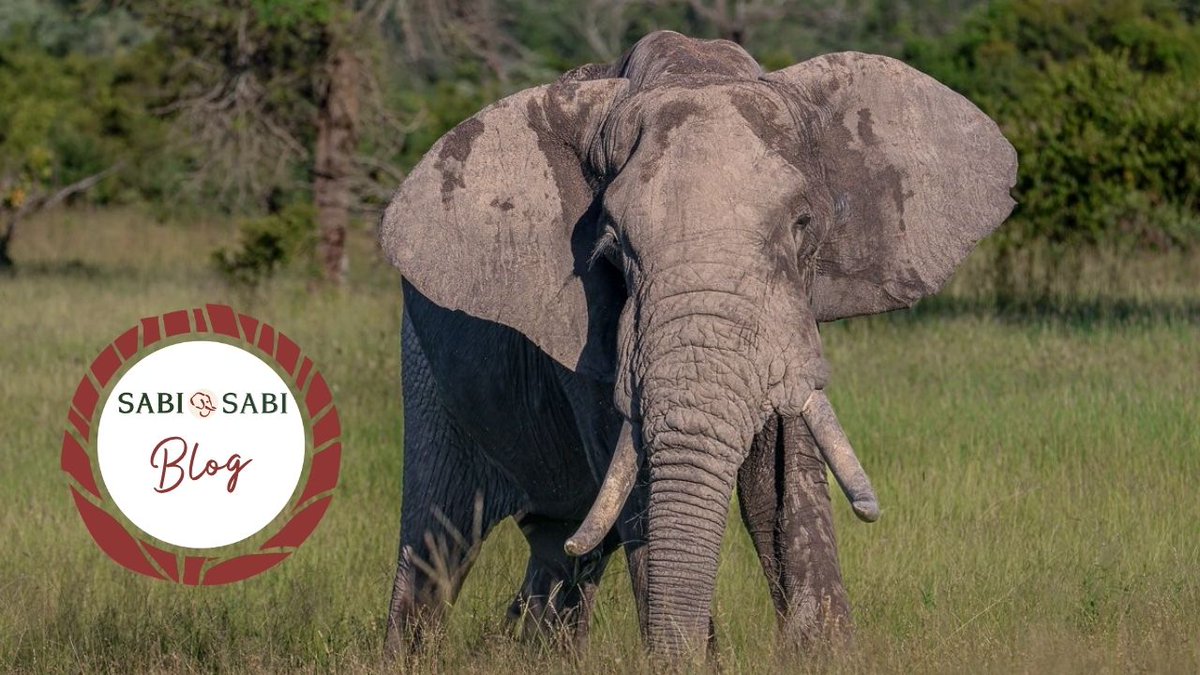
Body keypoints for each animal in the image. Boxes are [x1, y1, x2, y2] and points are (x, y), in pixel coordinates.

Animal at [379, 30, 1016, 660]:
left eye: (802, 223)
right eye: (614, 248)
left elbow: (783, 481)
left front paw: (824, 655)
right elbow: (641, 488)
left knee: (560, 551)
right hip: (423, 368)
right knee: (436, 542)